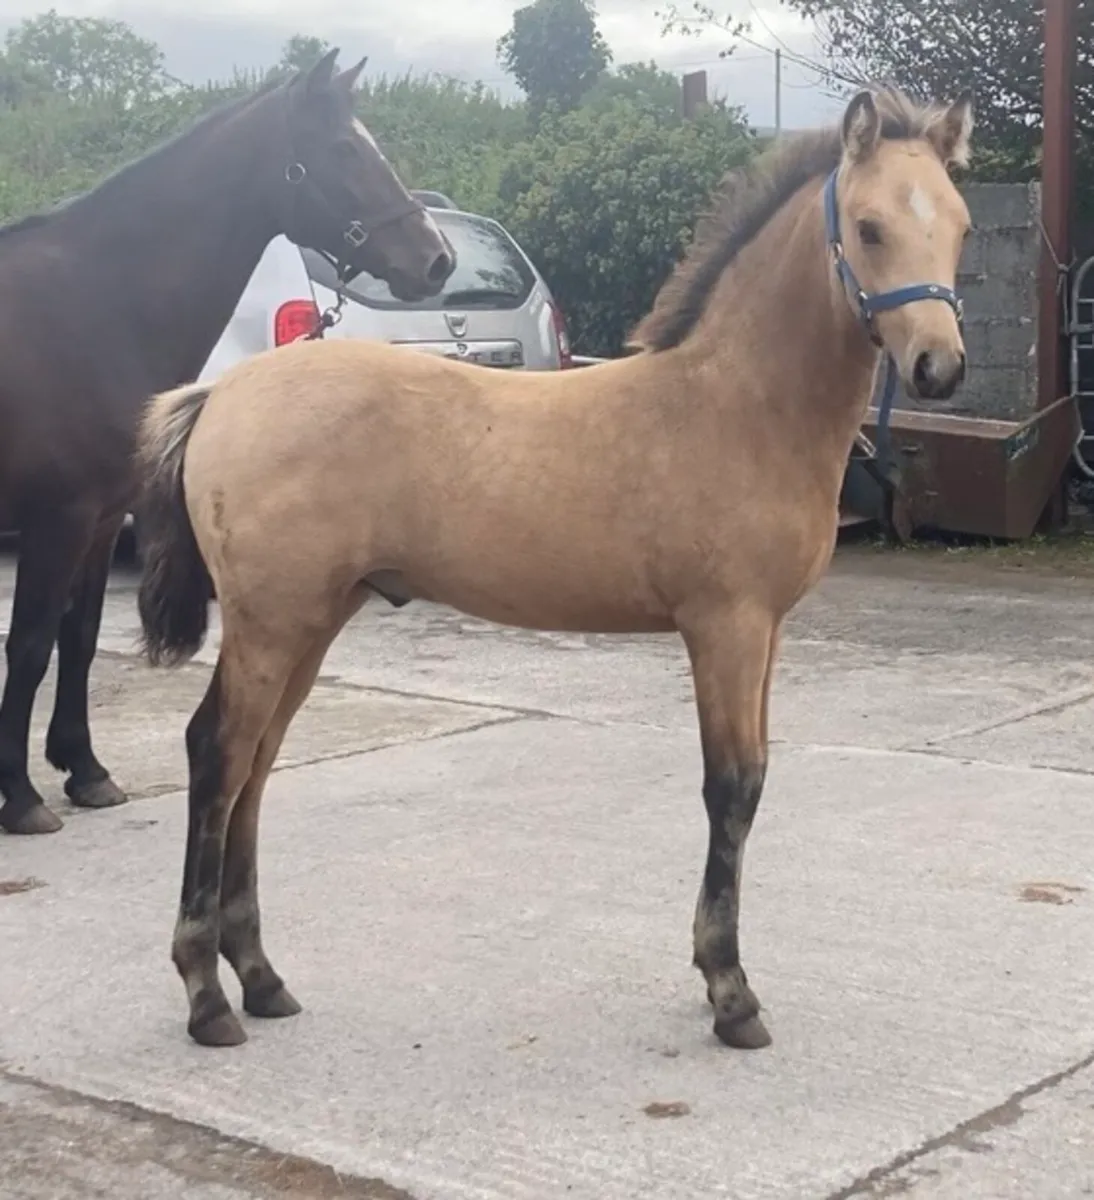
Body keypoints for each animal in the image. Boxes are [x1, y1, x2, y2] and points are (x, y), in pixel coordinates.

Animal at [0, 48, 455, 837]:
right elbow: (29, 643)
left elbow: (79, 639)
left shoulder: (100, 517)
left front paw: (85, 771)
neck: (99, 303)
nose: (435, 262)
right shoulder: (57, 518)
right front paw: (20, 797)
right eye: (343, 149)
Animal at [135, 85, 973, 1050]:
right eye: (870, 228)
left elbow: (754, 779)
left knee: (256, 764)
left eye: (960, 224)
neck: (737, 405)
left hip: (310, 620)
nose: (938, 367)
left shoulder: (765, 633)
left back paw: (263, 979)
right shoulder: (724, 626)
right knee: (217, 754)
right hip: (271, 622)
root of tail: (218, 395)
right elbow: (730, 787)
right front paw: (730, 993)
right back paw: (206, 997)